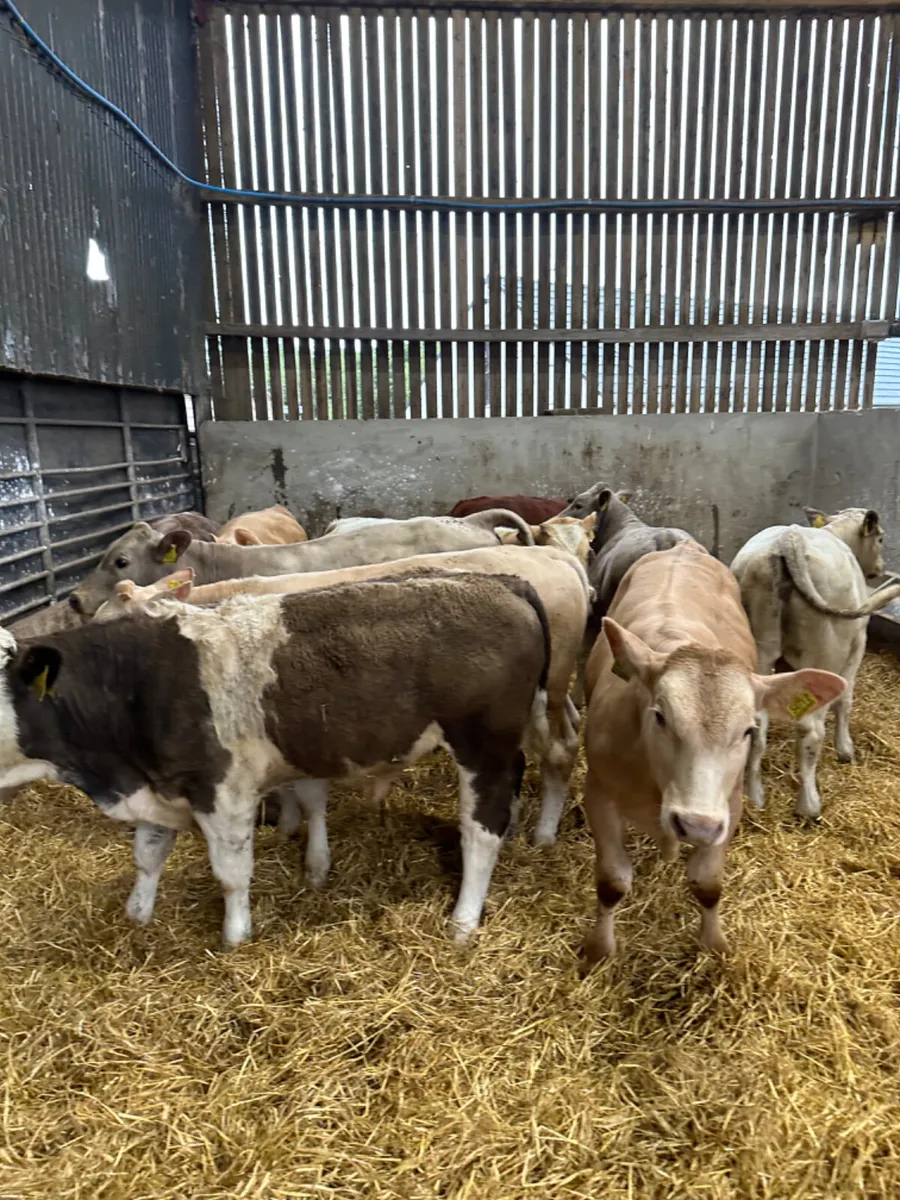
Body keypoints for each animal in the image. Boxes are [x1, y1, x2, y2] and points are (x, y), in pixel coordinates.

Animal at [0, 572, 550, 946]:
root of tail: (498, 581)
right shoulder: (158, 784)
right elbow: (148, 854)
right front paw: (138, 916)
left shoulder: (222, 789)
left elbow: (231, 872)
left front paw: (235, 937)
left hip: (483, 746)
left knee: (481, 829)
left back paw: (463, 920)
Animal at [580, 541, 845, 962]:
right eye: (660, 716)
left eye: (749, 730)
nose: (696, 825)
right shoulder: (599, 794)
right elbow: (612, 881)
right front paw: (599, 950)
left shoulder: (728, 805)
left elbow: (707, 884)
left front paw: (714, 946)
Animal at [730, 506, 900, 820]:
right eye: (881, 538)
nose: (879, 569)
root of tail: (789, 539)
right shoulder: (858, 643)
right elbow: (845, 700)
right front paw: (845, 750)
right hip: (825, 651)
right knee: (810, 729)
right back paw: (809, 805)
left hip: (760, 648)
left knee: (757, 721)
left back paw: (754, 796)